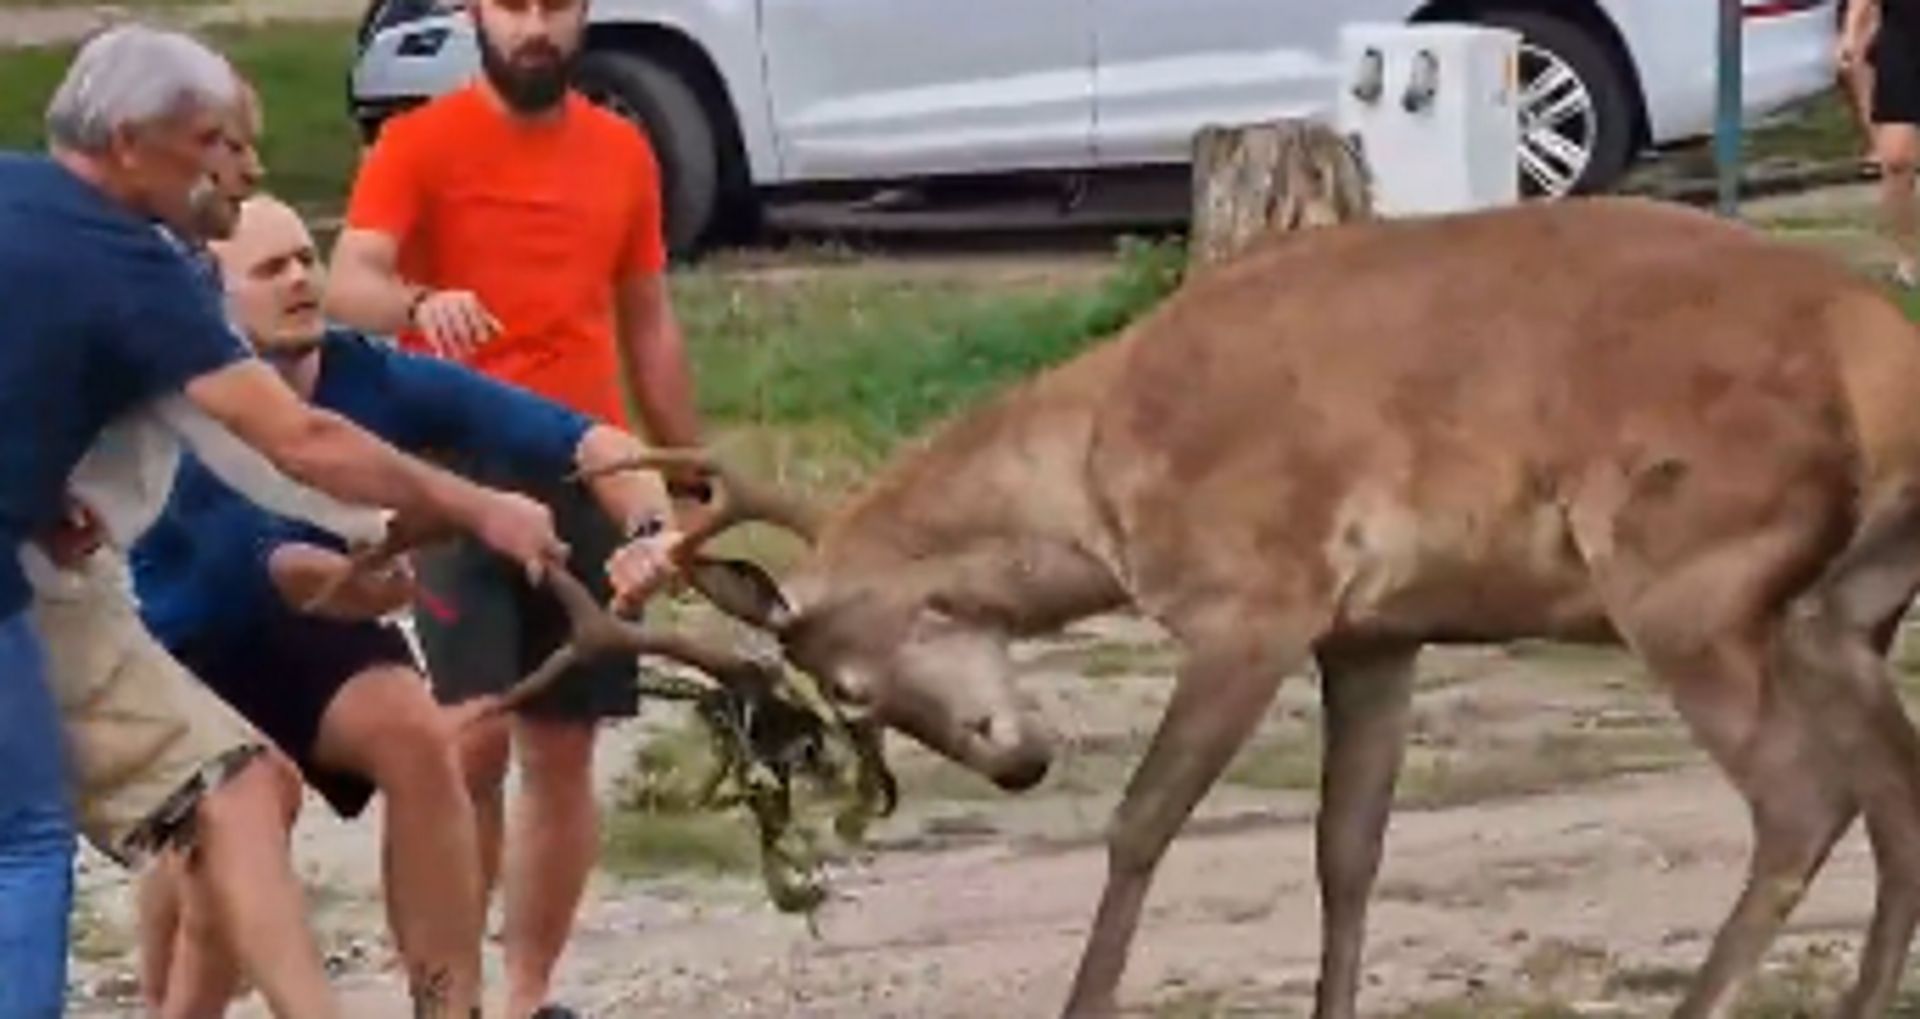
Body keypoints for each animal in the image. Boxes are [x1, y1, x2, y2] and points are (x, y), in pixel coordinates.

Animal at [337, 195, 1920, 1013]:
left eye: (849, 678)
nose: (1016, 757)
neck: (1099, 484)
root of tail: (1882, 356)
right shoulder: (1378, 628)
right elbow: (1349, 850)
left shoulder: (1256, 593)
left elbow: (1145, 820)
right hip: (1838, 607)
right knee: (1889, 783)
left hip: (1686, 566)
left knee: (1803, 795)